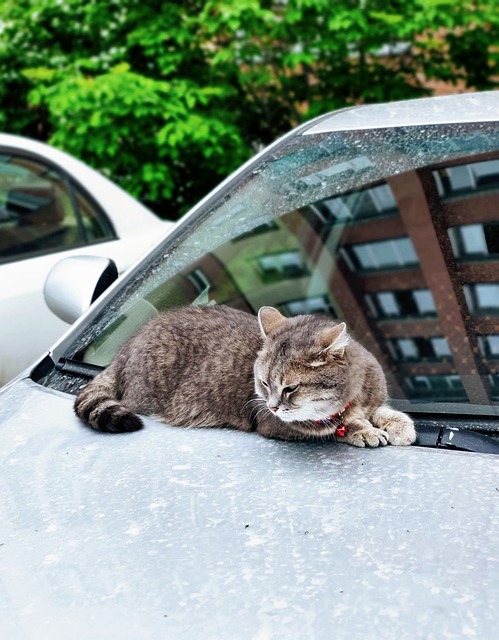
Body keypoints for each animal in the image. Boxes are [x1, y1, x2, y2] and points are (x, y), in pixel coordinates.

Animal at [75, 306, 418, 448]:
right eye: (264, 384)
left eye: (290, 388)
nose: (273, 405)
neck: (349, 401)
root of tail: (125, 348)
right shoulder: (279, 424)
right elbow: (337, 428)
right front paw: (364, 431)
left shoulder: (373, 399)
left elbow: (385, 411)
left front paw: (398, 426)